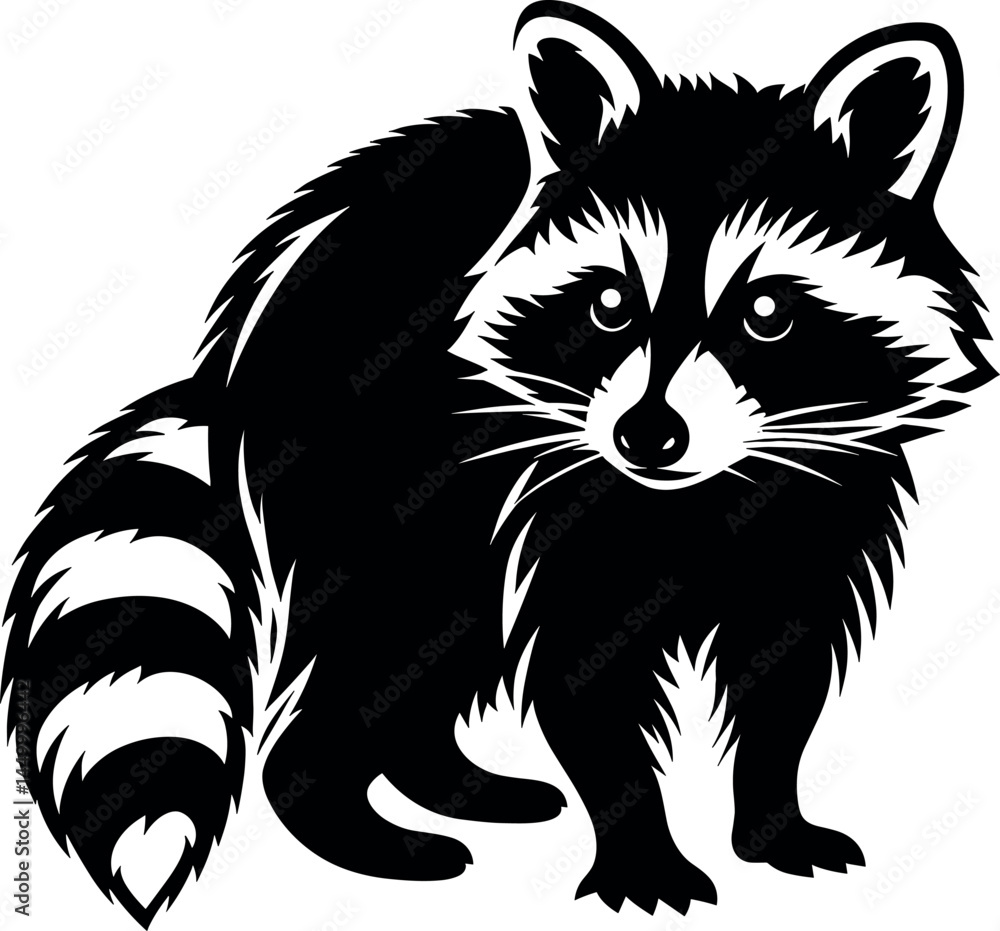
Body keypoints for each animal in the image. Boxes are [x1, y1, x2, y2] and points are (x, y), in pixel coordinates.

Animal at [3, 2, 994, 924]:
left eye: (766, 314)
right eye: (608, 304)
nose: (648, 435)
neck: (693, 495)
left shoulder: (810, 499)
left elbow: (782, 665)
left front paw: (771, 817)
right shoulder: (561, 493)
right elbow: (586, 676)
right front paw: (639, 843)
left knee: (438, 645)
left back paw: (440, 773)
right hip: (377, 471)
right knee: (385, 631)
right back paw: (341, 811)